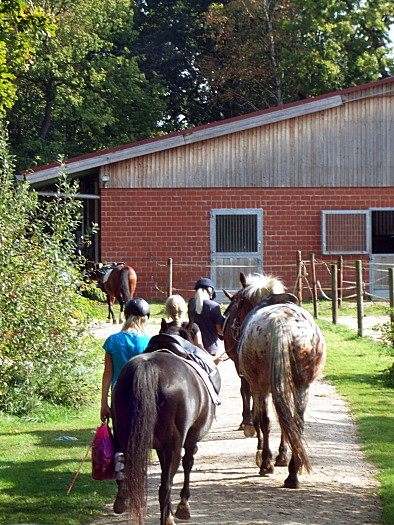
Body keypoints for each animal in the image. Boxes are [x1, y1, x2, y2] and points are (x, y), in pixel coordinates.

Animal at [111, 322, 219, 520]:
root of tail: (148, 367)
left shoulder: (160, 447)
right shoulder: (191, 439)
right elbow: (188, 463)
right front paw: (183, 505)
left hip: (126, 437)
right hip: (174, 445)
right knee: (165, 487)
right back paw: (167, 519)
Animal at [231, 272, 326, 490]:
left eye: (238, 301)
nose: (232, 326)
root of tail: (282, 323)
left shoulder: (257, 386)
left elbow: (262, 420)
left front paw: (268, 458)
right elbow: (286, 422)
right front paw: (283, 457)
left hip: (261, 385)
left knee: (267, 421)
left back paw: (266, 463)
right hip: (301, 386)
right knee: (296, 421)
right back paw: (293, 473)